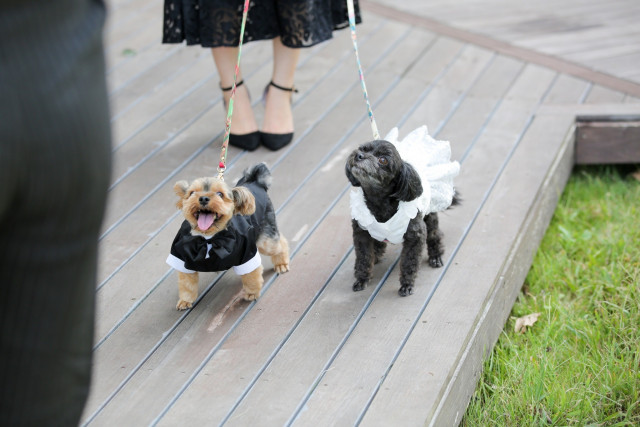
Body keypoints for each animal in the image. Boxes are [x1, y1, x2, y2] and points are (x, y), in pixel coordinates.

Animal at [169, 165, 292, 310]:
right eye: (192, 193)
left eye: (220, 194)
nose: (203, 198)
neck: (208, 238)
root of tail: (255, 181)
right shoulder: (182, 255)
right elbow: (187, 284)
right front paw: (185, 300)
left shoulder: (247, 252)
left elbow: (251, 277)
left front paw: (252, 293)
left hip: (265, 239)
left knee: (279, 243)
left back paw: (281, 264)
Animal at [344, 139, 456, 296]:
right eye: (363, 149)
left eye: (383, 160)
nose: (359, 155)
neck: (379, 203)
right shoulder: (361, 234)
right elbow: (363, 258)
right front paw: (362, 279)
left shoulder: (416, 236)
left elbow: (409, 262)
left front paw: (407, 284)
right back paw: (377, 253)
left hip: (429, 217)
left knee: (435, 235)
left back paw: (436, 257)